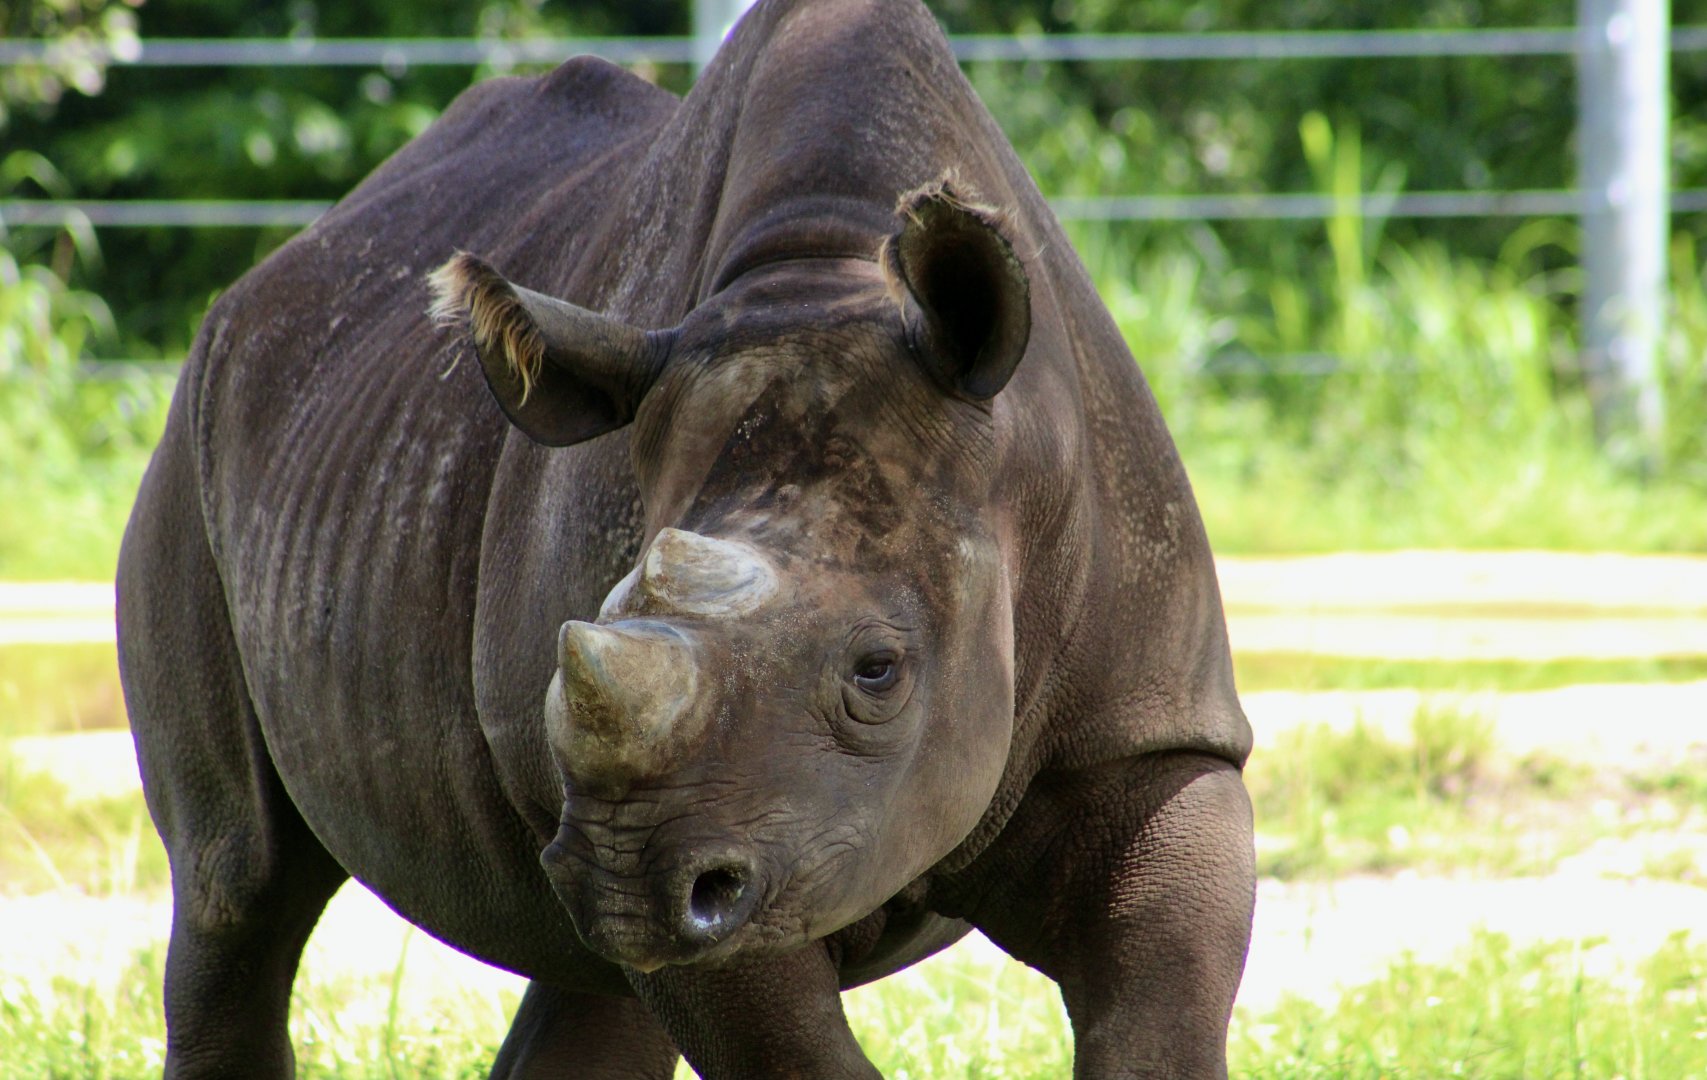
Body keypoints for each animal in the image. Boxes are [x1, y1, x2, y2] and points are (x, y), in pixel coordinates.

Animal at [116, 0, 1254, 1075]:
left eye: (878, 670)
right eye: (586, 629)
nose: (623, 879)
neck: (831, 269)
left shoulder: (1155, 728)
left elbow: (1162, 990)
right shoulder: (719, 822)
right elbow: (787, 1050)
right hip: (192, 445)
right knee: (236, 882)